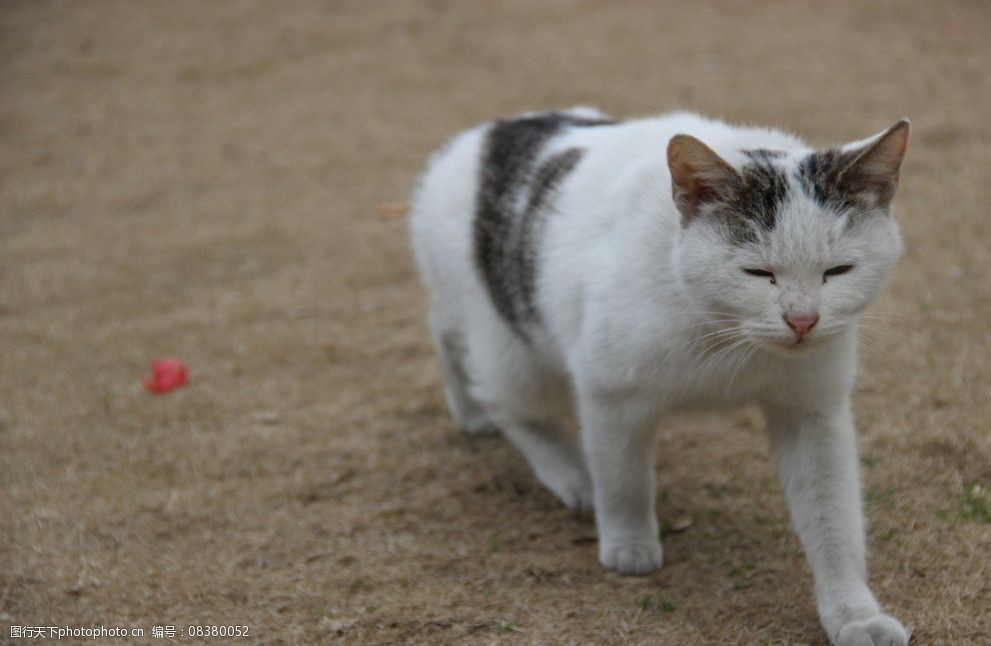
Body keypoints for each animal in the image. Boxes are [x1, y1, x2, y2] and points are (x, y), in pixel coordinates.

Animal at [406, 107, 912, 646]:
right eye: (758, 273)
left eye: (838, 271)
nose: (802, 320)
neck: (727, 334)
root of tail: (474, 138)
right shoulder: (610, 391)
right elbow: (623, 479)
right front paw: (629, 542)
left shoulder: (813, 410)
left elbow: (833, 517)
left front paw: (854, 613)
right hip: (509, 340)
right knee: (504, 396)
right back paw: (558, 464)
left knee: (443, 331)